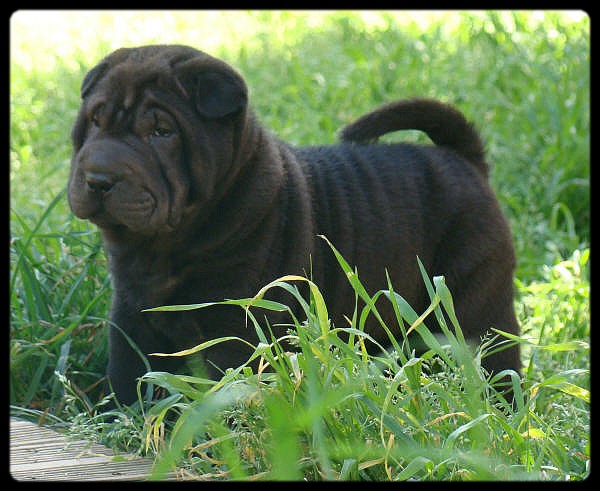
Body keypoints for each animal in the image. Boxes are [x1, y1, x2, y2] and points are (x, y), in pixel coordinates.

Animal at [67, 44, 520, 406]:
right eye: (95, 121)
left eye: (161, 132)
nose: (98, 178)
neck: (163, 247)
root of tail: (461, 158)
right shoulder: (132, 314)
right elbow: (130, 374)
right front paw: (125, 419)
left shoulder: (238, 323)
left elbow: (225, 384)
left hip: (469, 304)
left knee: (493, 357)